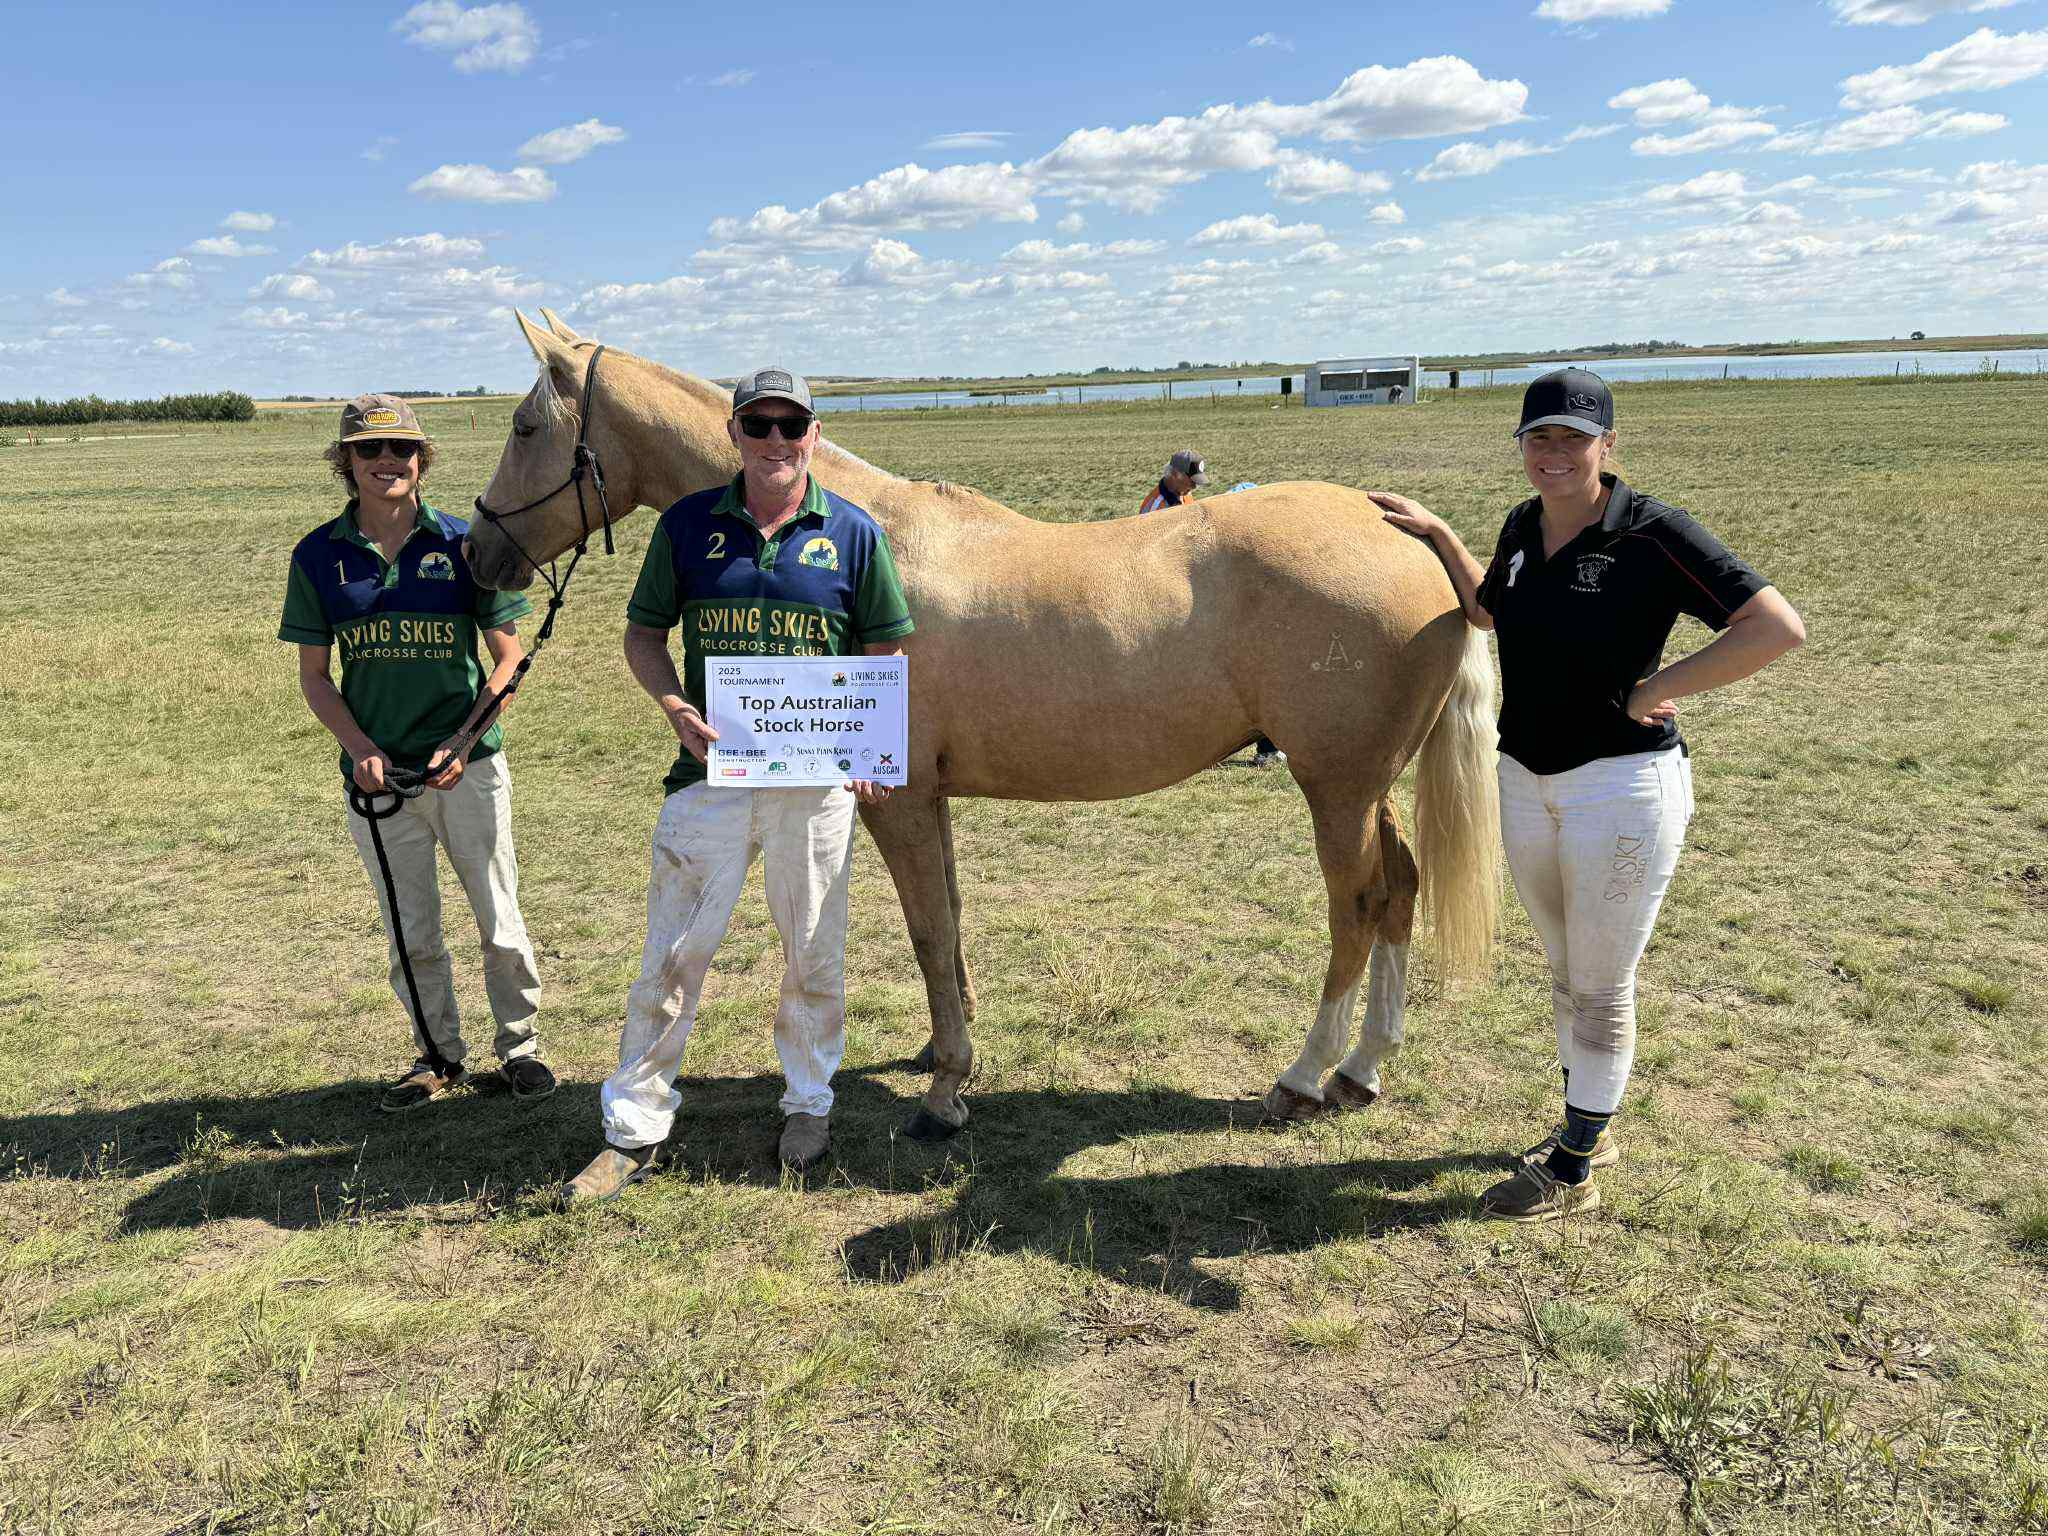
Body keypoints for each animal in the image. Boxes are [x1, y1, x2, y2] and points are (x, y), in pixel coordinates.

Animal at [464, 309, 1500, 1141]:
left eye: (524, 426)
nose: (478, 554)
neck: (866, 537)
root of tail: (1403, 528)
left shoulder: (900, 800)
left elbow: (929, 931)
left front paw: (945, 1094)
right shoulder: (935, 801)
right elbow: (953, 923)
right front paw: (943, 1054)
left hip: (1336, 788)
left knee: (1357, 907)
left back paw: (1303, 1076)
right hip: (1366, 786)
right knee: (1401, 891)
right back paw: (1362, 1070)